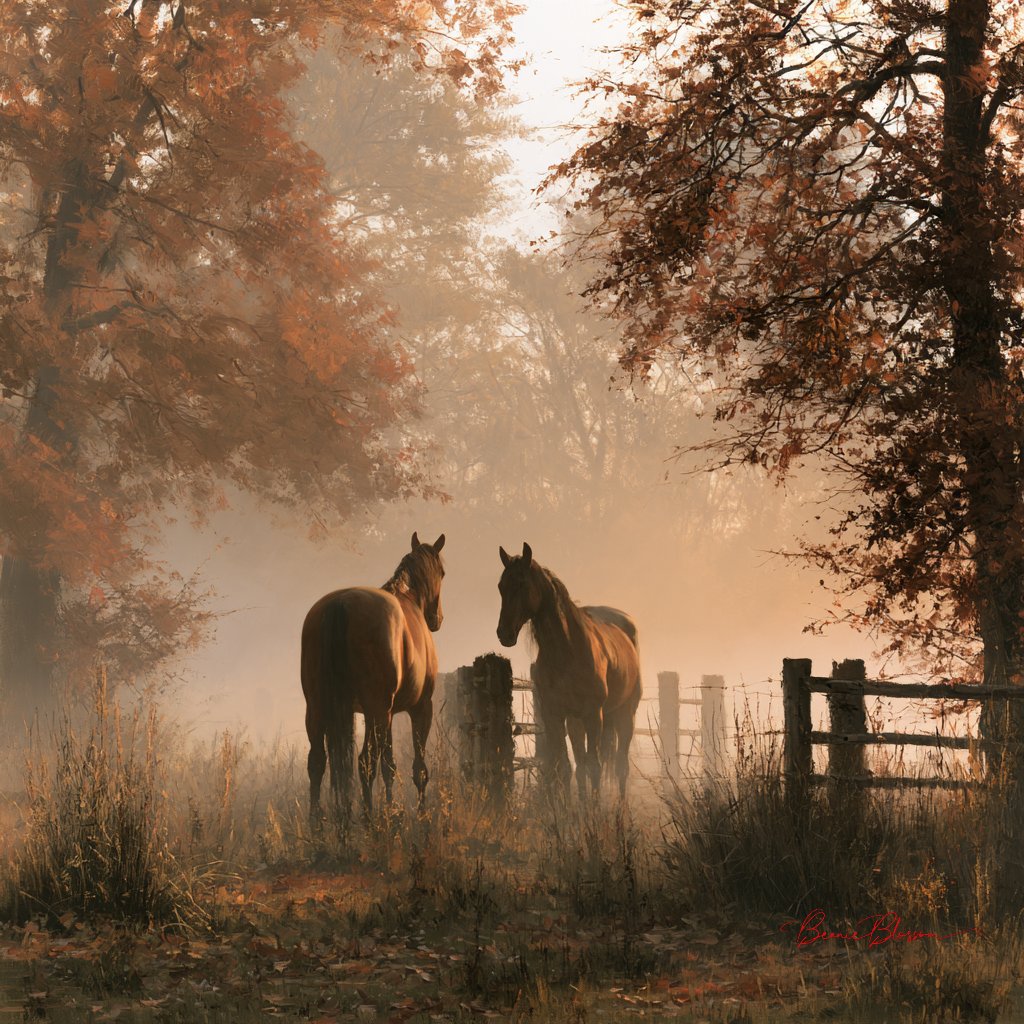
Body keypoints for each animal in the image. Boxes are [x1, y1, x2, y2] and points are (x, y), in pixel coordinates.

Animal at [301, 532, 446, 825]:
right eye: (443, 573)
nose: (437, 619)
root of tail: (340, 604)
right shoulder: (419, 708)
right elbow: (418, 767)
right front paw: (421, 815)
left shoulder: (385, 714)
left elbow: (389, 764)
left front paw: (391, 808)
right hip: (375, 710)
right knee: (364, 762)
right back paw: (368, 819)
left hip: (319, 708)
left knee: (318, 761)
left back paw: (318, 822)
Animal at [496, 542, 642, 799]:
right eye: (501, 586)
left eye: (522, 583)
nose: (504, 633)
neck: (568, 650)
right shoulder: (554, 715)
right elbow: (563, 768)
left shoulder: (594, 715)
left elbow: (595, 767)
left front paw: (594, 810)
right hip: (576, 723)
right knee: (581, 765)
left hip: (625, 714)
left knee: (620, 766)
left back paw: (620, 809)